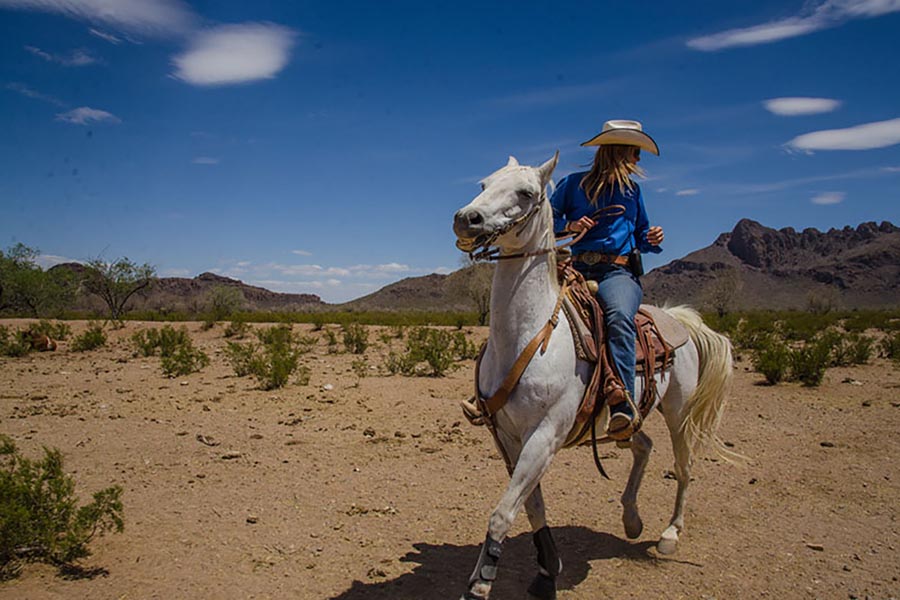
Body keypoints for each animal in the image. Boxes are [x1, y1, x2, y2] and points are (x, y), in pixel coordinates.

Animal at [451, 154, 734, 600]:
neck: (527, 337)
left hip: (679, 412)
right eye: (484, 182)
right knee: (643, 445)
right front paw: (548, 569)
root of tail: (678, 319)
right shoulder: (508, 437)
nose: (467, 219)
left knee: (684, 466)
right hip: (626, 417)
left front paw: (480, 585)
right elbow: (531, 506)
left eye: (526, 193)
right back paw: (632, 520)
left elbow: (502, 513)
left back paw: (670, 533)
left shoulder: (545, 435)